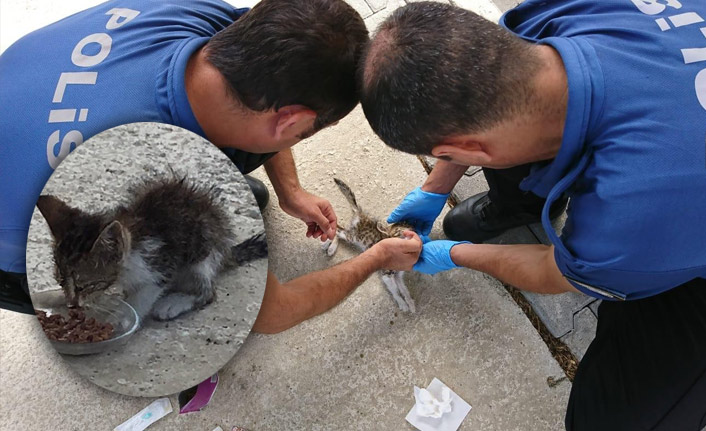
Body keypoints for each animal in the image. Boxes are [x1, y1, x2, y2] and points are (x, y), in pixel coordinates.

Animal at [35, 177, 266, 322]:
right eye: (61, 281)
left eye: (84, 285)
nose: (72, 305)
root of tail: (226, 250)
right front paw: (54, 296)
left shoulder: (163, 262)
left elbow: (145, 294)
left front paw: (119, 318)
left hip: (202, 254)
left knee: (208, 292)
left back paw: (174, 303)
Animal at [324, 179, 416, 314]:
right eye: (397, 233)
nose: (409, 233)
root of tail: (361, 214)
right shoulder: (386, 275)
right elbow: (395, 291)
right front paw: (402, 303)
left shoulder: (398, 275)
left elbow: (404, 290)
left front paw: (410, 303)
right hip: (353, 237)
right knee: (337, 229)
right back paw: (329, 246)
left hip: (351, 234)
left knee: (339, 228)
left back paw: (329, 245)